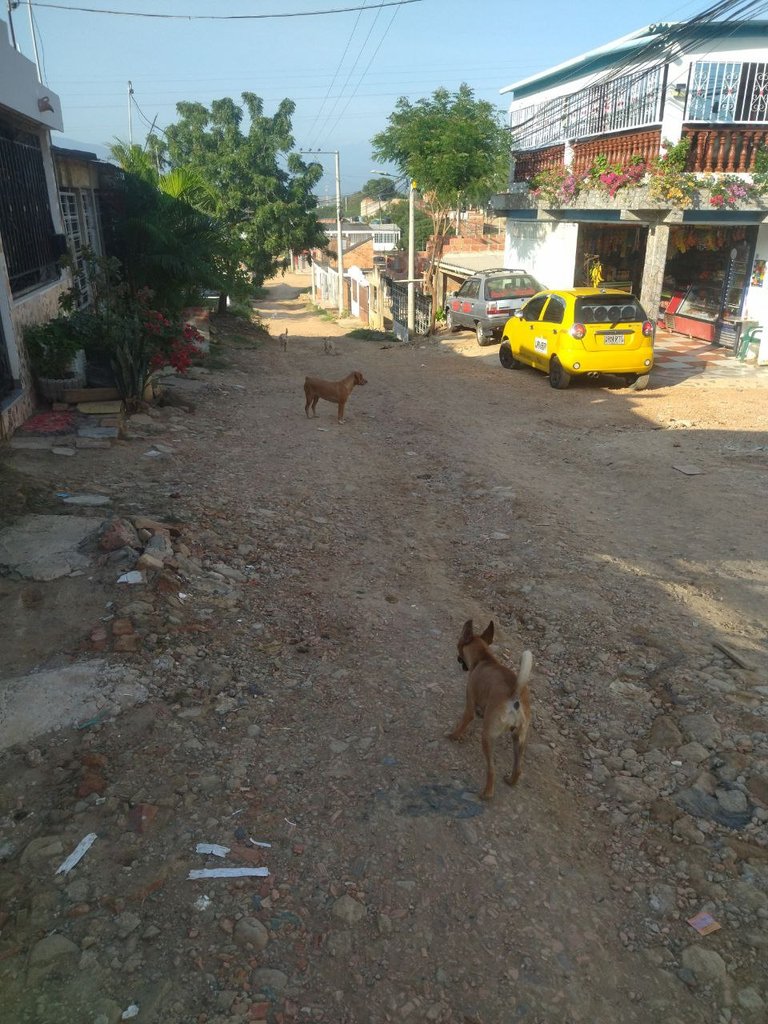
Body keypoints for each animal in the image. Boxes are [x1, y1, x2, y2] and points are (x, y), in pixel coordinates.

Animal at [448, 614, 532, 798]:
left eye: (458, 644)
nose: (457, 659)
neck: (484, 659)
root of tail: (514, 695)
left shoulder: (470, 703)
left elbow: (464, 722)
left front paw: (453, 735)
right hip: (519, 739)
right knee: (518, 768)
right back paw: (510, 780)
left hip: (487, 736)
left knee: (491, 769)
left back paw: (486, 793)